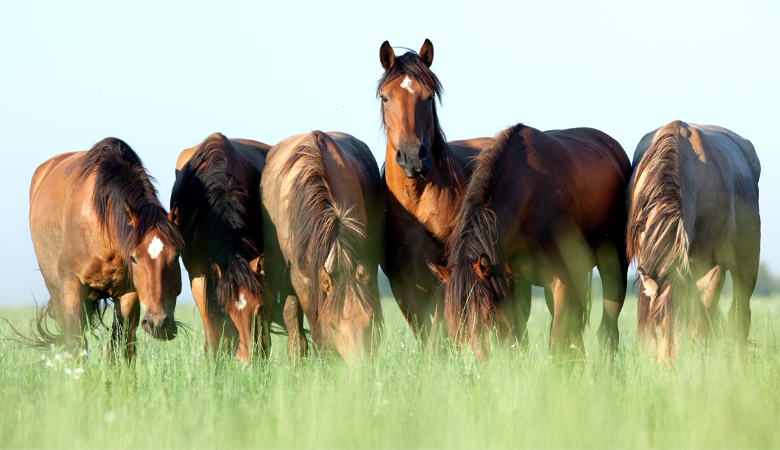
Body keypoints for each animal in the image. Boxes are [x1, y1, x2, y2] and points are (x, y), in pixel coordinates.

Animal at [27, 138, 183, 360]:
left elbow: (119, 345)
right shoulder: (72, 285)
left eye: (177, 255)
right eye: (134, 258)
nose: (159, 323)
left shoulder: (128, 292)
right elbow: (75, 342)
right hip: (56, 290)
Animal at [377, 39, 490, 345]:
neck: (416, 203)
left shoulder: (444, 273)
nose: (413, 157)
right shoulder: (402, 282)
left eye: (429, 97)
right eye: (385, 97)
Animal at [429, 124, 631, 360]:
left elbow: (557, 340)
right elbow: (518, 337)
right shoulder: (512, 282)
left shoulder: (561, 281)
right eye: (454, 320)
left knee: (608, 326)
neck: (529, 197)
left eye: (488, 312)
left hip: (614, 268)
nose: (479, 363)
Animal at [627, 121, 761, 361]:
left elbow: (703, 317)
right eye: (658, 327)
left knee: (740, 316)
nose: (669, 366)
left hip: (747, 263)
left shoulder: (715, 266)